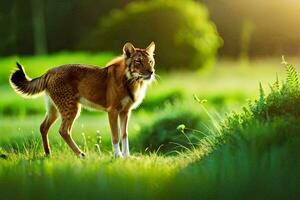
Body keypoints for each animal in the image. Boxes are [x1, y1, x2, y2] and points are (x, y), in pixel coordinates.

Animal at [9, 42, 155, 158]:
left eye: (150, 61)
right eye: (138, 61)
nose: (151, 72)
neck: (130, 79)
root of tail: (49, 71)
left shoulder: (125, 112)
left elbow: (124, 134)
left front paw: (127, 156)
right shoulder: (112, 111)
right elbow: (115, 135)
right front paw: (118, 156)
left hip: (54, 110)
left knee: (43, 127)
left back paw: (48, 154)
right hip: (71, 108)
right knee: (63, 130)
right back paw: (80, 154)